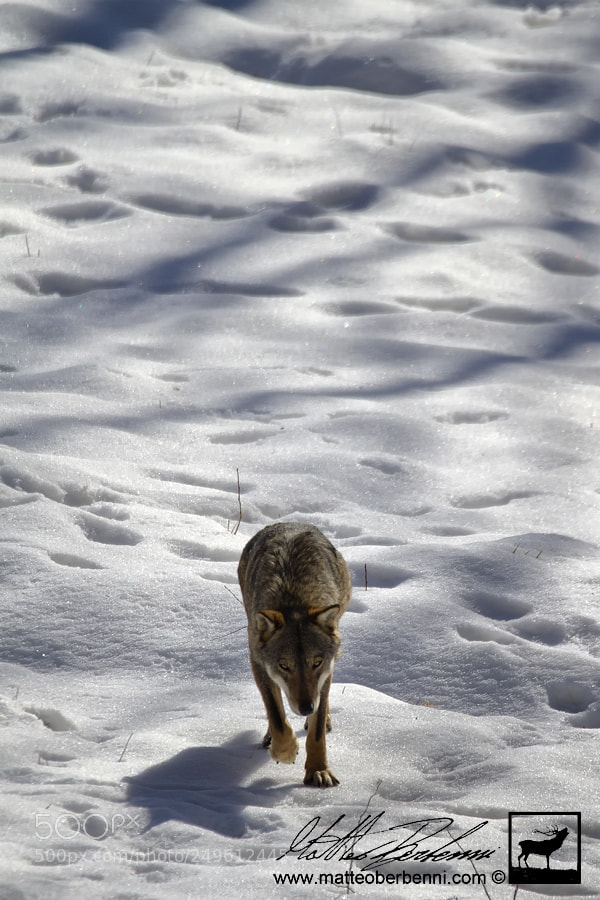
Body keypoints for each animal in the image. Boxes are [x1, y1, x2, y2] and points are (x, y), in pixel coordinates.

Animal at [238, 522, 352, 787]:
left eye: (316, 663)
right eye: (284, 665)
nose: (306, 707)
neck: (295, 599)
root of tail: (291, 523)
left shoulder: (326, 671)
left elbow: (317, 732)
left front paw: (319, 770)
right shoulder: (259, 663)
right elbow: (277, 717)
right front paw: (286, 751)